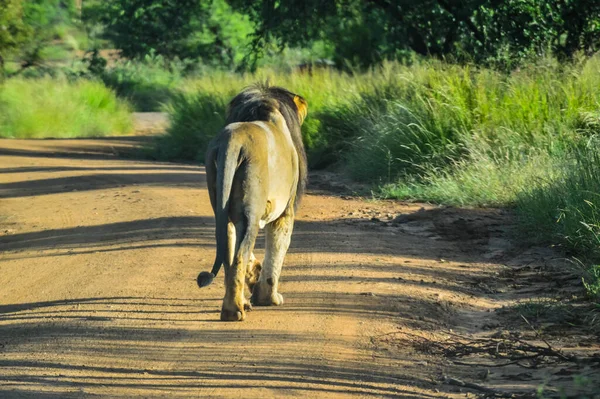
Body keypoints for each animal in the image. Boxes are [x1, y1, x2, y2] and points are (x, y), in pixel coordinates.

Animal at [198, 83, 310, 322]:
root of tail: (232, 141)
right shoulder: (285, 212)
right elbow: (277, 251)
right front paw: (269, 297)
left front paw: (254, 277)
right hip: (251, 207)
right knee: (240, 253)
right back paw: (234, 310)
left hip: (222, 206)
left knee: (229, 251)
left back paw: (240, 303)